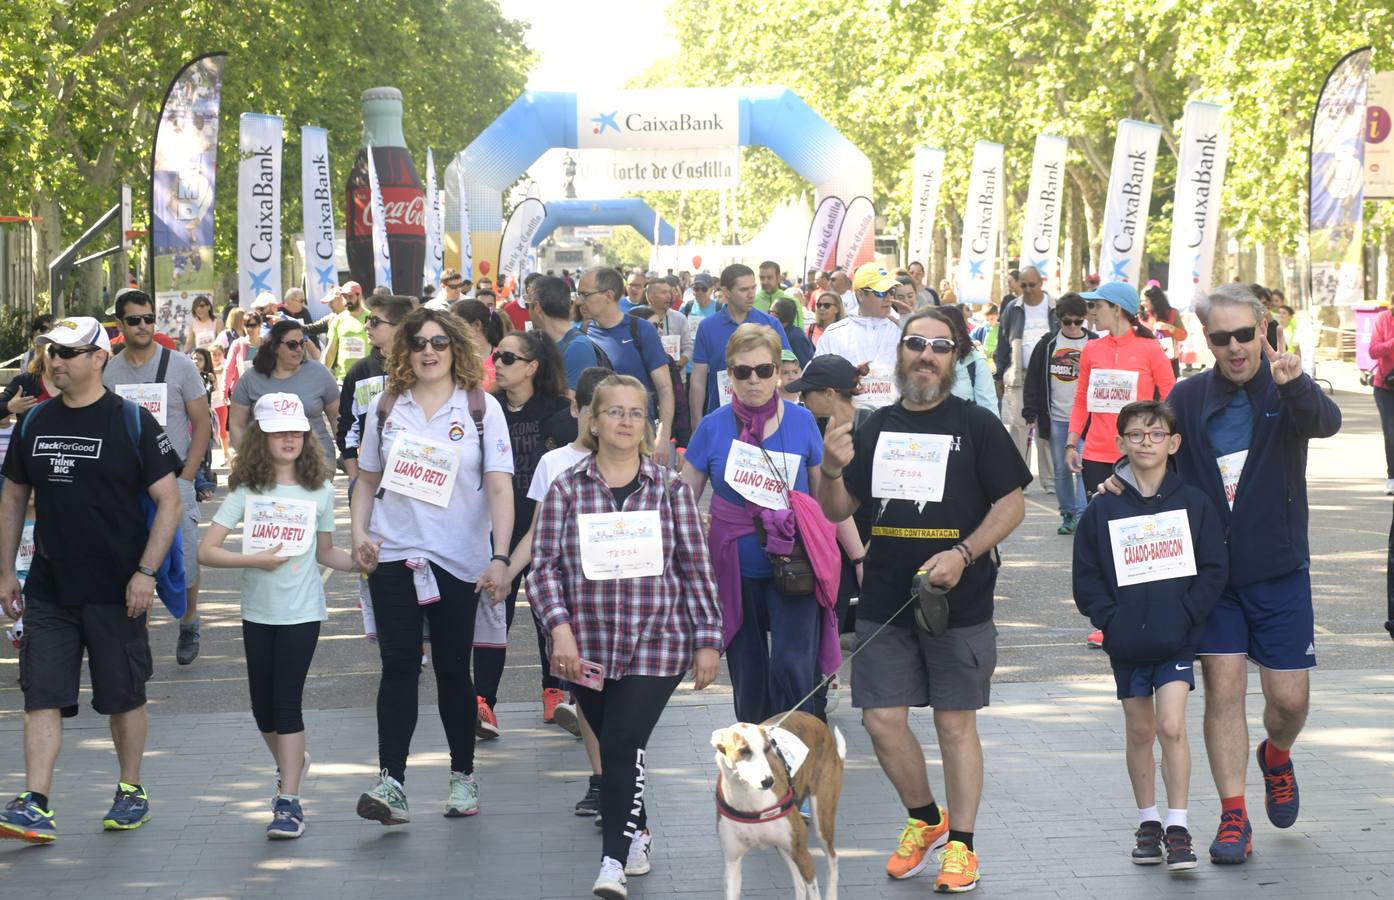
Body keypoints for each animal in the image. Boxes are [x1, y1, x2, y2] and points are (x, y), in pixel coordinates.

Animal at [713, 713, 841, 900]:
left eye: (767, 749)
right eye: (743, 751)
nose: (768, 781)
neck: (751, 801)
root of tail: (816, 719)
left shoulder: (802, 853)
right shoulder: (732, 863)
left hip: (821, 820)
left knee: (832, 859)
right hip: (785, 847)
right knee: (799, 883)